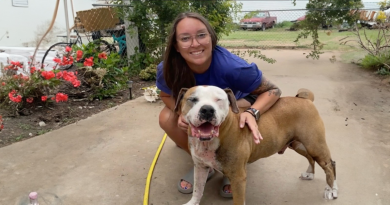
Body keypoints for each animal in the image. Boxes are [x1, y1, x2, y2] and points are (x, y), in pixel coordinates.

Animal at [175, 85, 340, 204]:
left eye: (219, 99)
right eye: (193, 99)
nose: (207, 110)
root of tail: (305, 99)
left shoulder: (238, 178)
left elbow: (238, 201)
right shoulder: (200, 167)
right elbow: (198, 190)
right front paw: (192, 203)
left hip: (314, 144)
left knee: (328, 164)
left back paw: (330, 189)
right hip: (298, 144)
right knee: (313, 158)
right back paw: (312, 175)